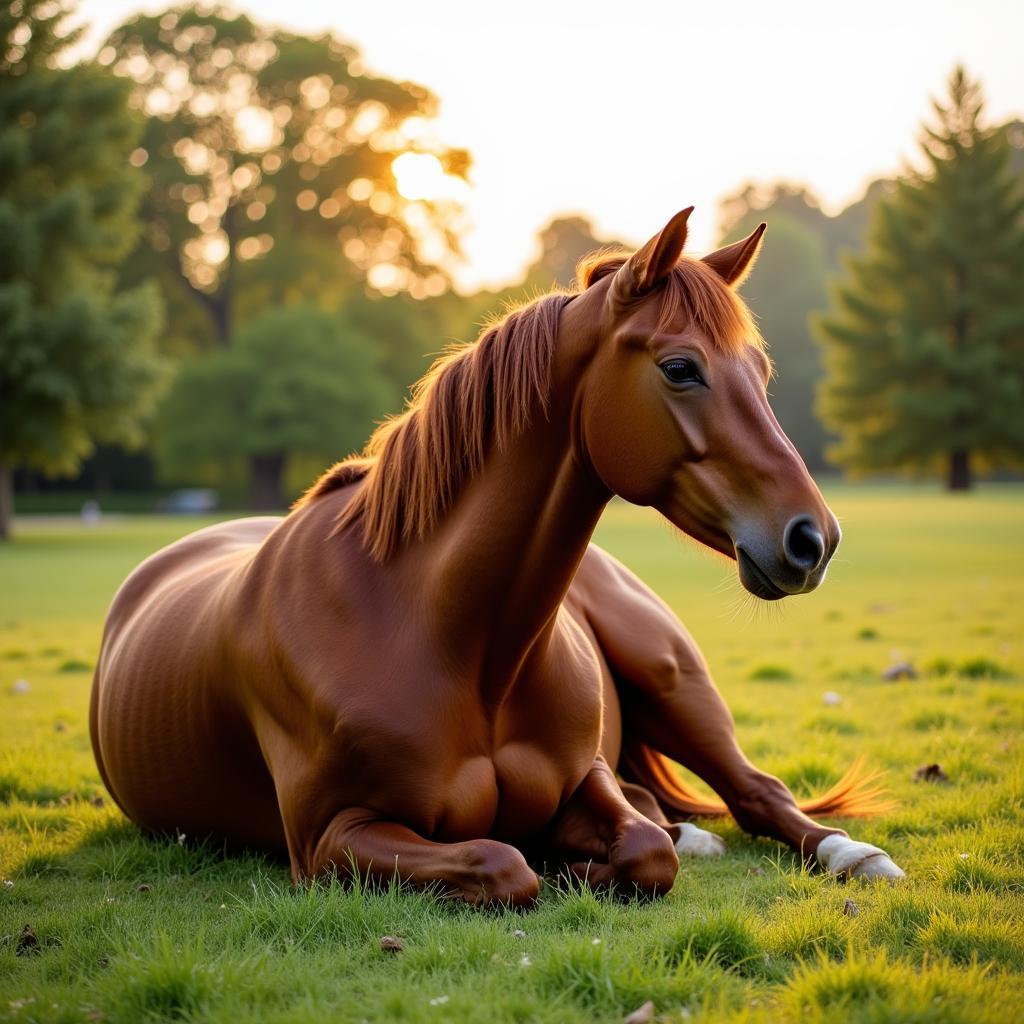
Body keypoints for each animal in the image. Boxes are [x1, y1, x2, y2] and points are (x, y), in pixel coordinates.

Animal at [90, 207, 905, 905]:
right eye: (680, 368)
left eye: (761, 375)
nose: (813, 539)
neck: (441, 634)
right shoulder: (330, 840)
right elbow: (504, 861)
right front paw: (560, 860)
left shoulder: (588, 780)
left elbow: (644, 852)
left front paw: (584, 859)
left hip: (672, 674)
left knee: (753, 791)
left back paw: (854, 856)